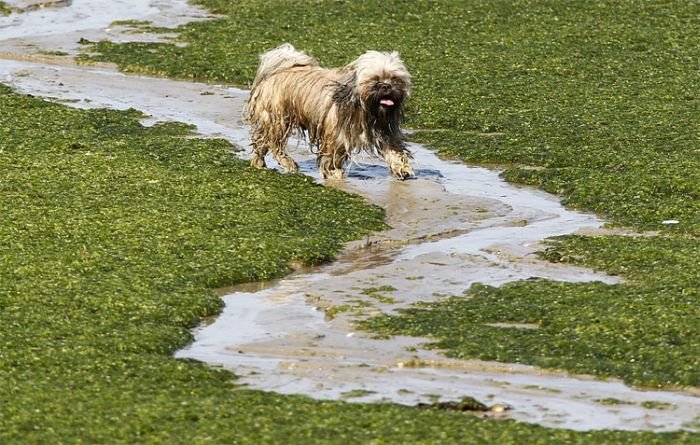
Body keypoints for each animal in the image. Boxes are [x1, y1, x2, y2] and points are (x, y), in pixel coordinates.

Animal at [245, 43, 412, 179]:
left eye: (395, 79)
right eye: (375, 79)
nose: (386, 85)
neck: (366, 110)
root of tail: (278, 70)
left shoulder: (385, 131)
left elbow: (394, 150)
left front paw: (401, 168)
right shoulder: (337, 135)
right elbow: (333, 155)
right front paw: (334, 172)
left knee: (262, 143)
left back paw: (259, 163)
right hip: (277, 120)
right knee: (273, 143)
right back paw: (286, 163)